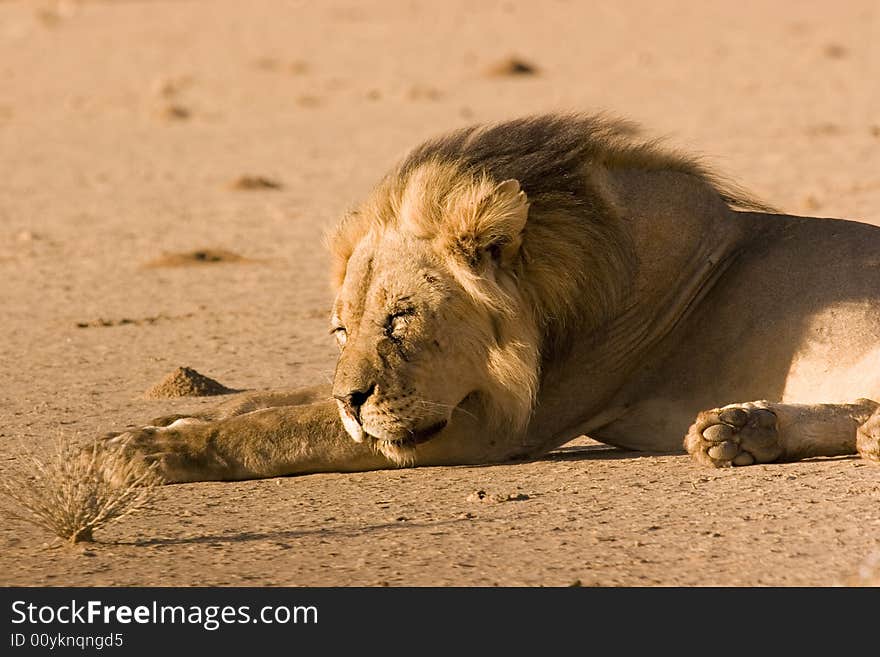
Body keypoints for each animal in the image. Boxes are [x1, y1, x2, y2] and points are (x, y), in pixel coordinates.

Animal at [105, 114, 880, 482]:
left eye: (401, 318)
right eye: (341, 331)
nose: (353, 400)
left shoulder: (496, 427)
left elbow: (282, 428)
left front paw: (150, 452)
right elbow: (269, 399)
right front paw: (161, 422)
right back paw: (741, 430)